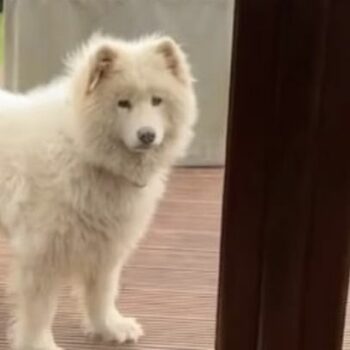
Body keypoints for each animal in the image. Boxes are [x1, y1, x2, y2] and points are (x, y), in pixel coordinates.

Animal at [0, 34, 197, 350]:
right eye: (123, 104)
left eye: (157, 101)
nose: (147, 135)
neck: (81, 148)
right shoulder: (41, 252)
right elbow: (40, 309)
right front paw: (38, 344)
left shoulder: (106, 242)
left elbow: (102, 292)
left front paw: (110, 327)